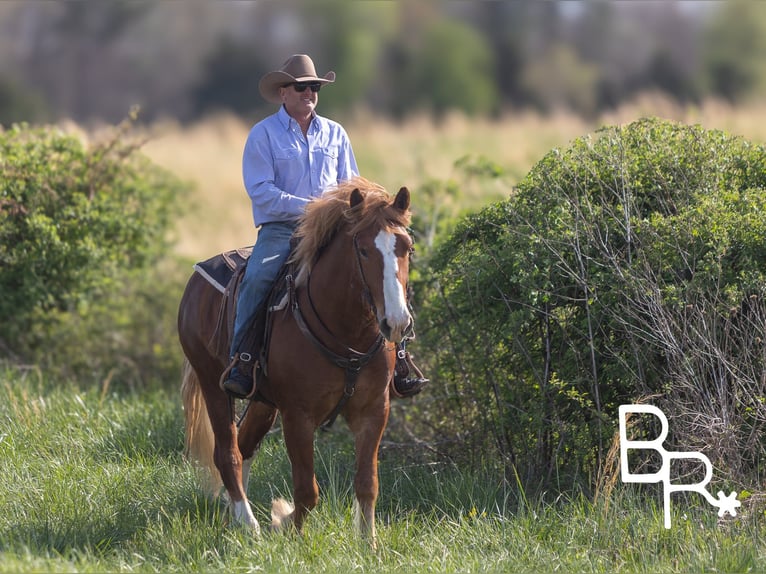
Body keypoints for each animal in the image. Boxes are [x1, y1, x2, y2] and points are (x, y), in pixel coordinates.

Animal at [179, 177, 414, 545]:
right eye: (363, 250)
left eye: (407, 248)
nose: (396, 322)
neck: (346, 335)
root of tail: (196, 278)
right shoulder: (298, 416)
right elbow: (307, 491)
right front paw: (284, 523)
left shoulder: (373, 412)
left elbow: (367, 484)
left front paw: (368, 544)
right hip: (212, 384)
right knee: (227, 453)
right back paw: (249, 523)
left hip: (263, 403)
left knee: (244, 446)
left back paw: (234, 518)